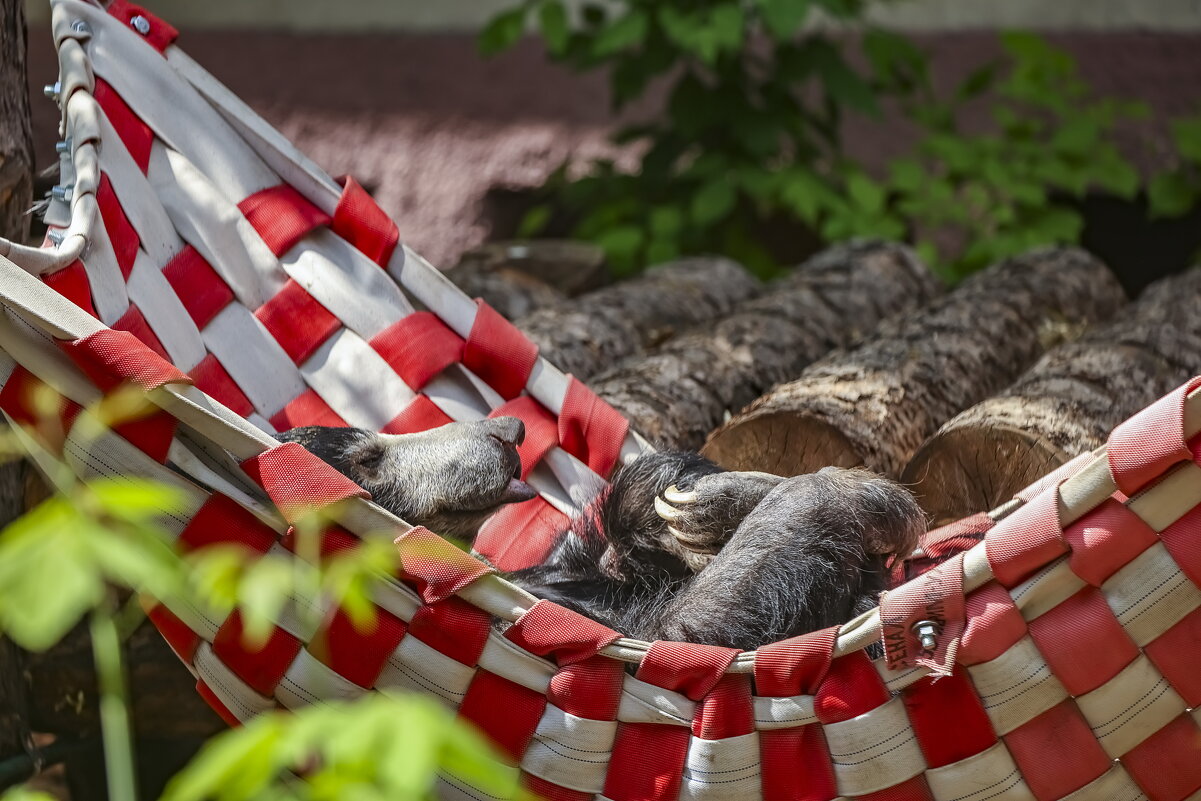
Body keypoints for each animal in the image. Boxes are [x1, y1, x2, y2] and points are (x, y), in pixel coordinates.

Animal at [278, 413, 917, 653]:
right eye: (368, 457)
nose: (506, 428)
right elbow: (686, 627)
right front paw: (851, 492)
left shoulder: (548, 570)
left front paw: (699, 506)